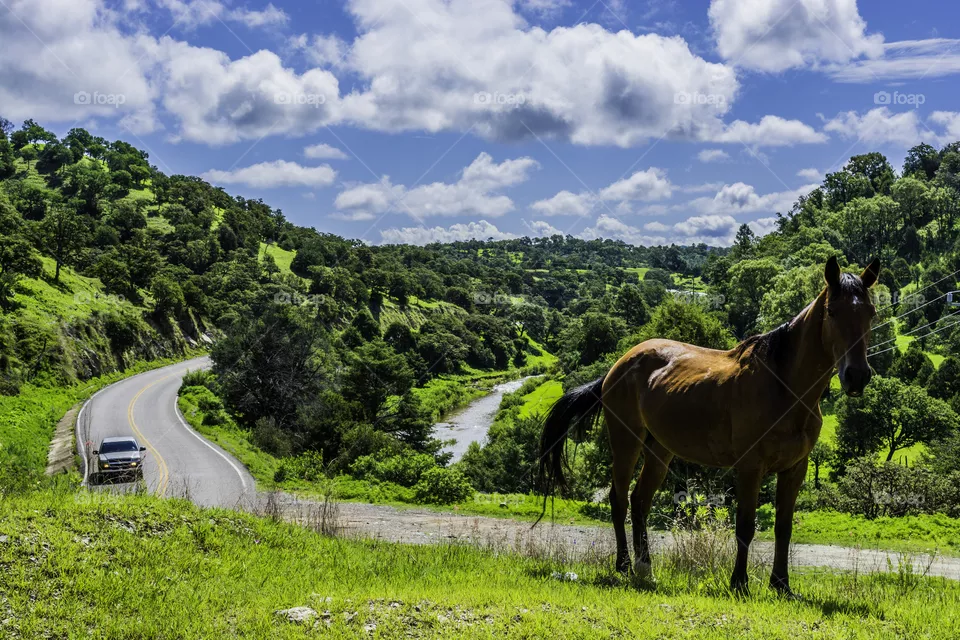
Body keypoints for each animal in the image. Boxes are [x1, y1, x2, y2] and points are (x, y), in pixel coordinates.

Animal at [537, 256, 880, 595]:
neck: (783, 387)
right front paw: (739, 583)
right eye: (832, 312)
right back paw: (623, 566)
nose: (857, 376)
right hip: (626, 443)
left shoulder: (795, 468)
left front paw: (781, 585)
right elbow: (745, 526)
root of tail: (619, 364)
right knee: (619, 499)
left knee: (640, 501)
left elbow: (783, 527)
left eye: (871, 313)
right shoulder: (750, 467)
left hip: (659, 451)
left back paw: (645, 568)